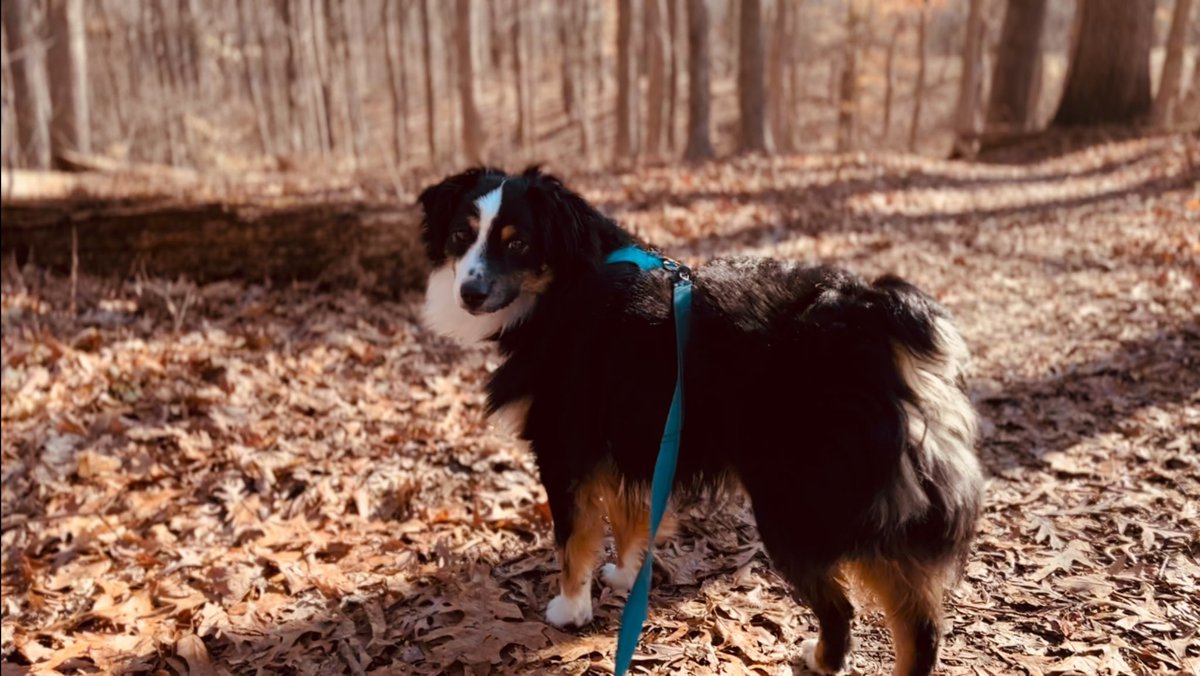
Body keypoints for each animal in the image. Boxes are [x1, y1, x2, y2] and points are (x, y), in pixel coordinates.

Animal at [420, 165, 984, 676]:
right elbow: (629, 516)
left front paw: (570, 609)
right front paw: (626, 576)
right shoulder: (635, 438)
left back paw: (823, 658)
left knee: (846, 606)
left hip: (798, 506)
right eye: (461, 236)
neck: (567, 283)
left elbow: (573, 539)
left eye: (517, 244)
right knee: (918, 619)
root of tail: (871, 312)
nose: (469, 293)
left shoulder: (566, 446)